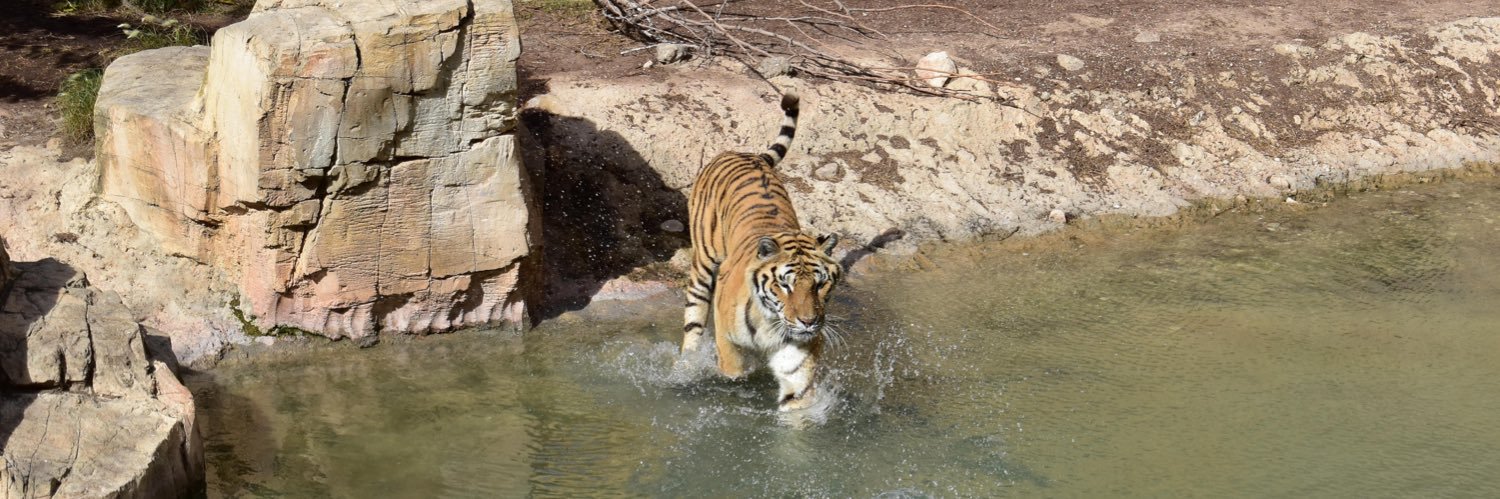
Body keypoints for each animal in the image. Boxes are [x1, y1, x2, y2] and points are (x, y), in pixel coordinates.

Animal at [679, 92, 843, 412]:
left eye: (820, 284)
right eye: (785, 285)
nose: (809, 322)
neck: (771, 324)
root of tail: (747, 154)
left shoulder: (798, 357)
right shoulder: (728, 340)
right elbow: (734, 373)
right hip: (703, 263)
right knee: (694, 316)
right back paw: (686, 363)